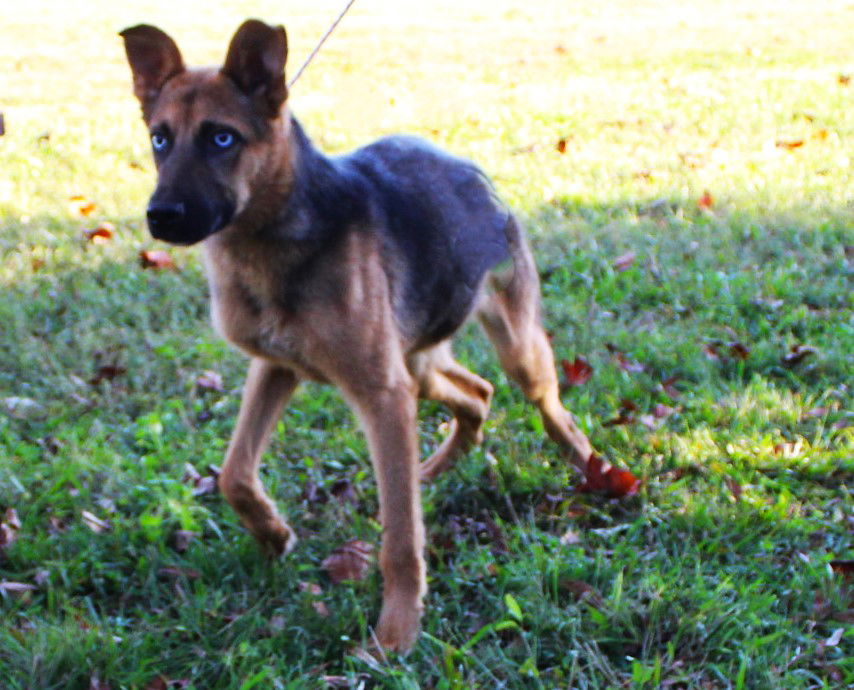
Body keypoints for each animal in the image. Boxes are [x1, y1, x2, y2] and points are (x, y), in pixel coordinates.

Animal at [120, 17, 612, 652]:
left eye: (221, 139)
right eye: (160, 139)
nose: (161, 216)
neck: (271, 238)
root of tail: (468, 169)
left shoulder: (381, 394)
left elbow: (400, 540)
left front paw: (397, 633)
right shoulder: (277, 368)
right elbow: (234, 474)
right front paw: (273, 535)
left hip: (512, 351)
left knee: (548, 408)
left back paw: (595, 470)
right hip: (417, 368)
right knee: (476, 395)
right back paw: (433, 469)